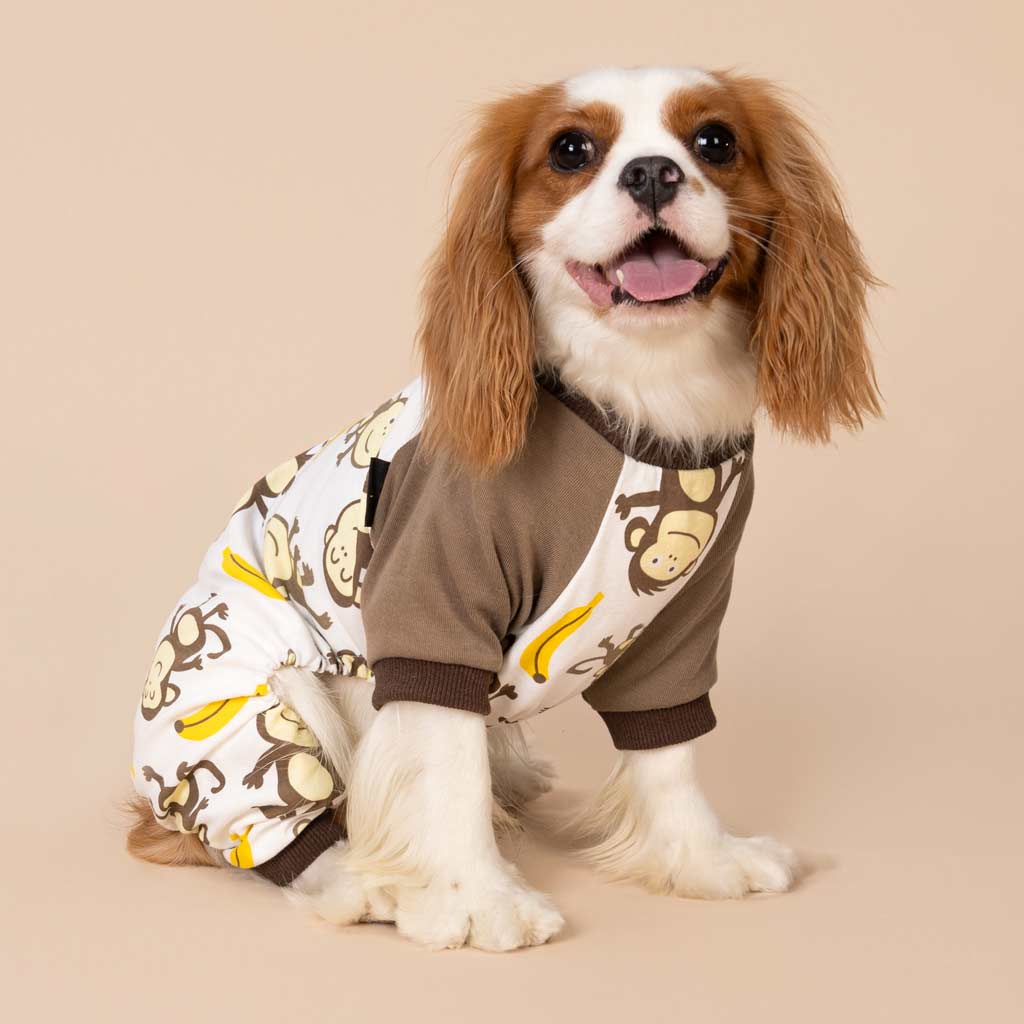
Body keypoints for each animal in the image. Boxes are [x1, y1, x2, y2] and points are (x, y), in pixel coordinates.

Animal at [615, 455, 747, 596]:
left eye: (671, 568)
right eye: (655, 561)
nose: (672, 557)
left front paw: (736, 468)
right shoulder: (668, 498)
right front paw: (624, 505)